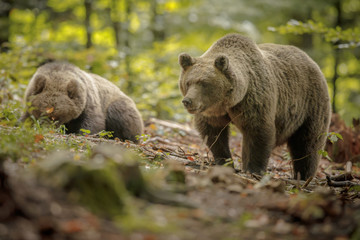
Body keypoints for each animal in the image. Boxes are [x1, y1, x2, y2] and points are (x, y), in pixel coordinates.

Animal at [179, 34, 330, 180]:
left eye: (204, 83)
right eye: (188, 82)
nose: (187, 101)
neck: (230, 102)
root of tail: (311, 61)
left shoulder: (254, 101)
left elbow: (258, 132)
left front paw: (254, 170)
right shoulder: (213, 113)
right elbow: (214, 134)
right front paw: (224, 162)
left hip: (310, 105)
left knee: (308, 143)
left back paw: (304, 176)